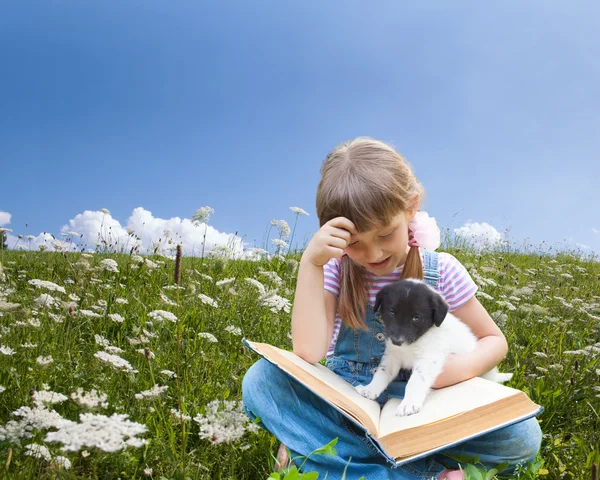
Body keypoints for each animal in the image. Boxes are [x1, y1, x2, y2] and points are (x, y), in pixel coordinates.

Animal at [356, 278, 510, 416]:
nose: (397, 341)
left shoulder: (428, 359)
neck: (414, 343)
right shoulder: (393, 356)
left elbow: (416, 381)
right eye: (391, 312)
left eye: (416, 318)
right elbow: (382, 372)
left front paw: (408, 403)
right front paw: (370, 389)